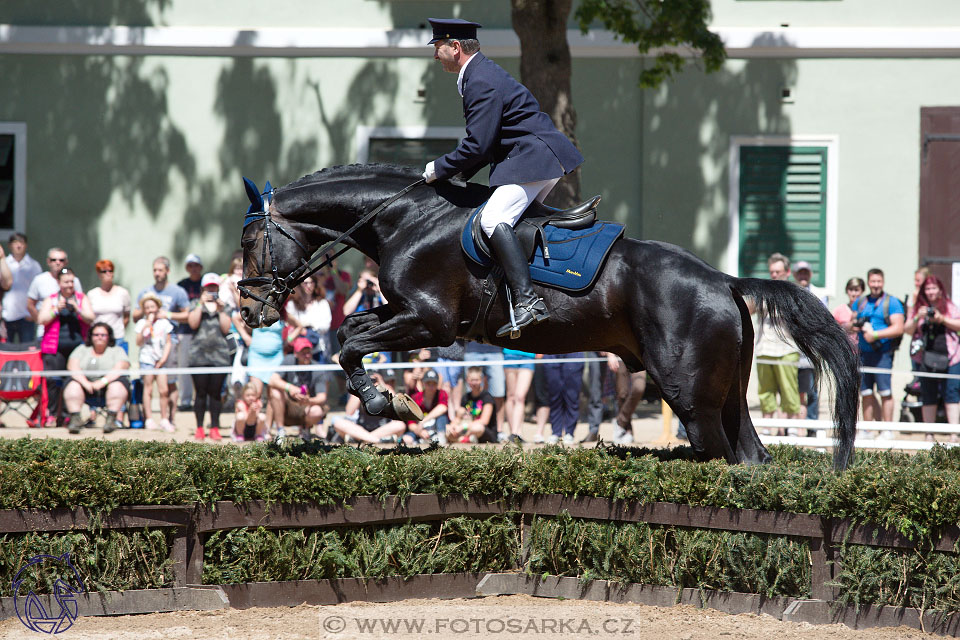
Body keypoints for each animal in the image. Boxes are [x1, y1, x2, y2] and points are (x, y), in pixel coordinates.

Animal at [240, 165, 864, 470]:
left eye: (249, 242)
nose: (247, 310)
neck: (406, 219)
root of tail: (725, 281)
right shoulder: (404, 312)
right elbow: (349, 333)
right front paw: (387, 399)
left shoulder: (430, 322)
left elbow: (348, 342)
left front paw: (384, 403)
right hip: (728, 392)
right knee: (751, 460)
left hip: (689, 397)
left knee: (721, 458)